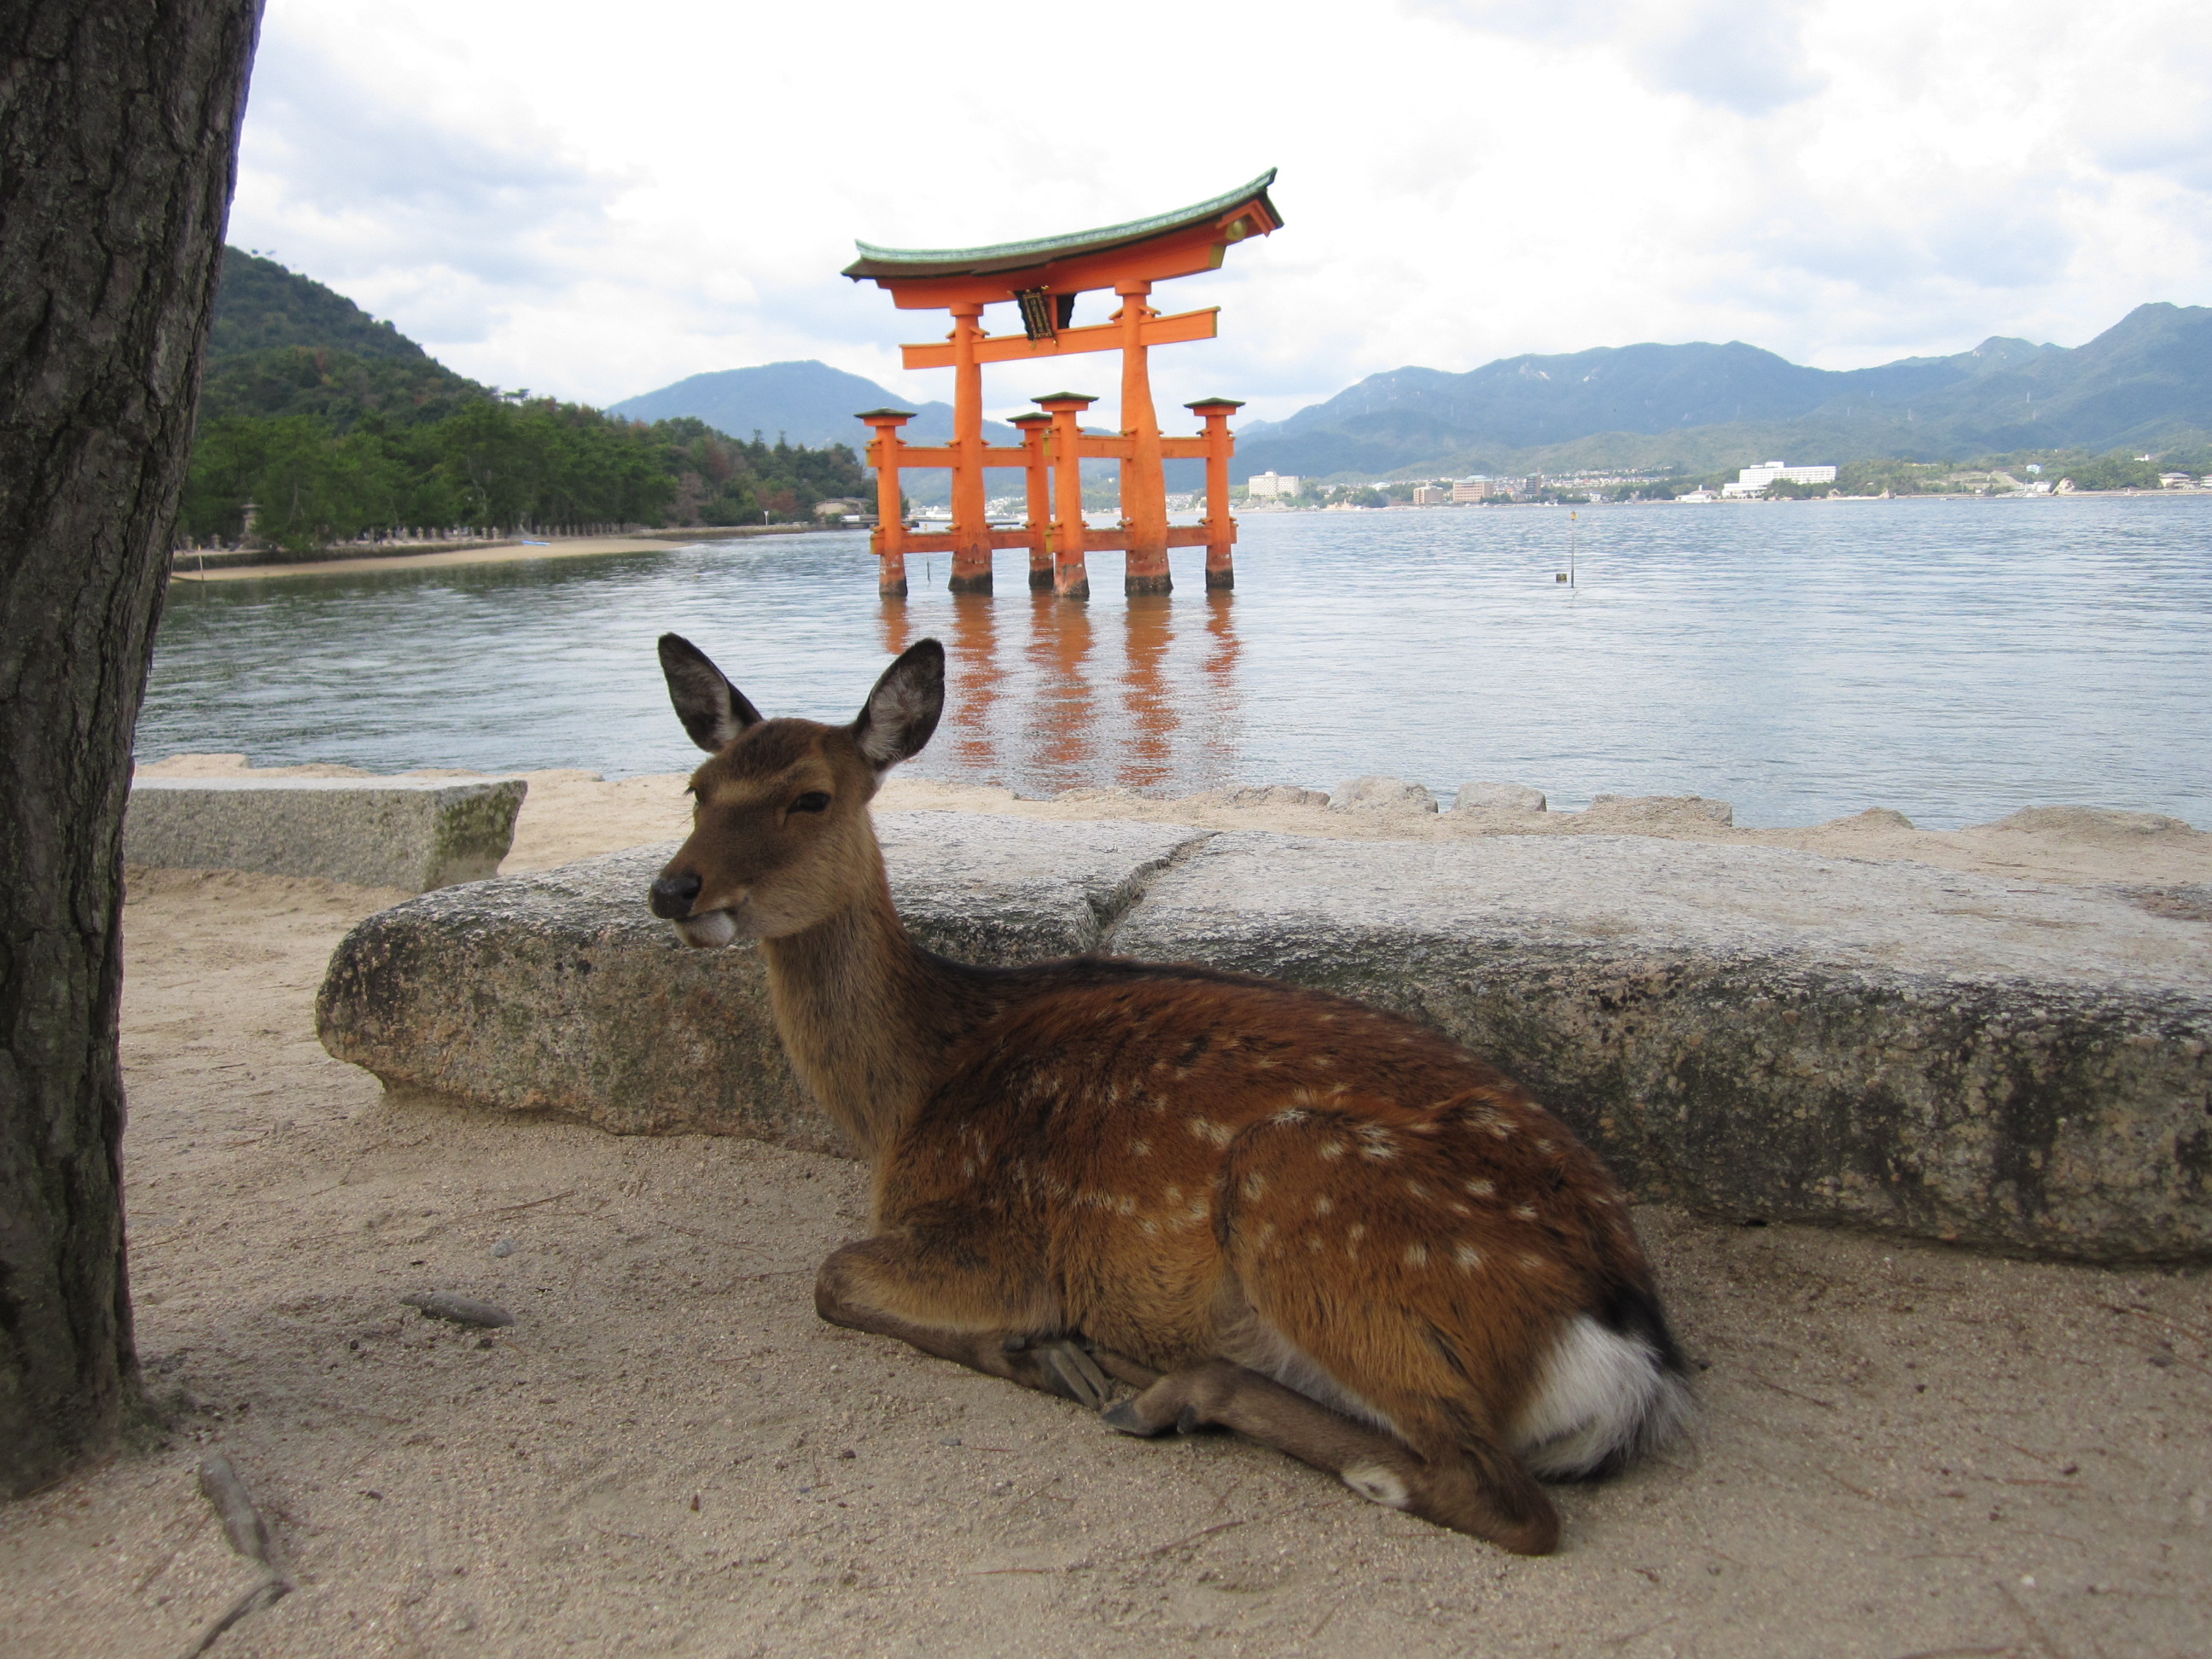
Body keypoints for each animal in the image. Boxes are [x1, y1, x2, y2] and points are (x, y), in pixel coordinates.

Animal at [645, 637, 1690, 1557]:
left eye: (811, 797)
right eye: (696, 790)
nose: (674, 889)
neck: (908, 1095)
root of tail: (1630, 1355)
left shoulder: (1001, 1239)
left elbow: (831, 1278)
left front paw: (1039, 1353)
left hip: (1311, 1190)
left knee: (1502, 1497)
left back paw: (1164, 1390)